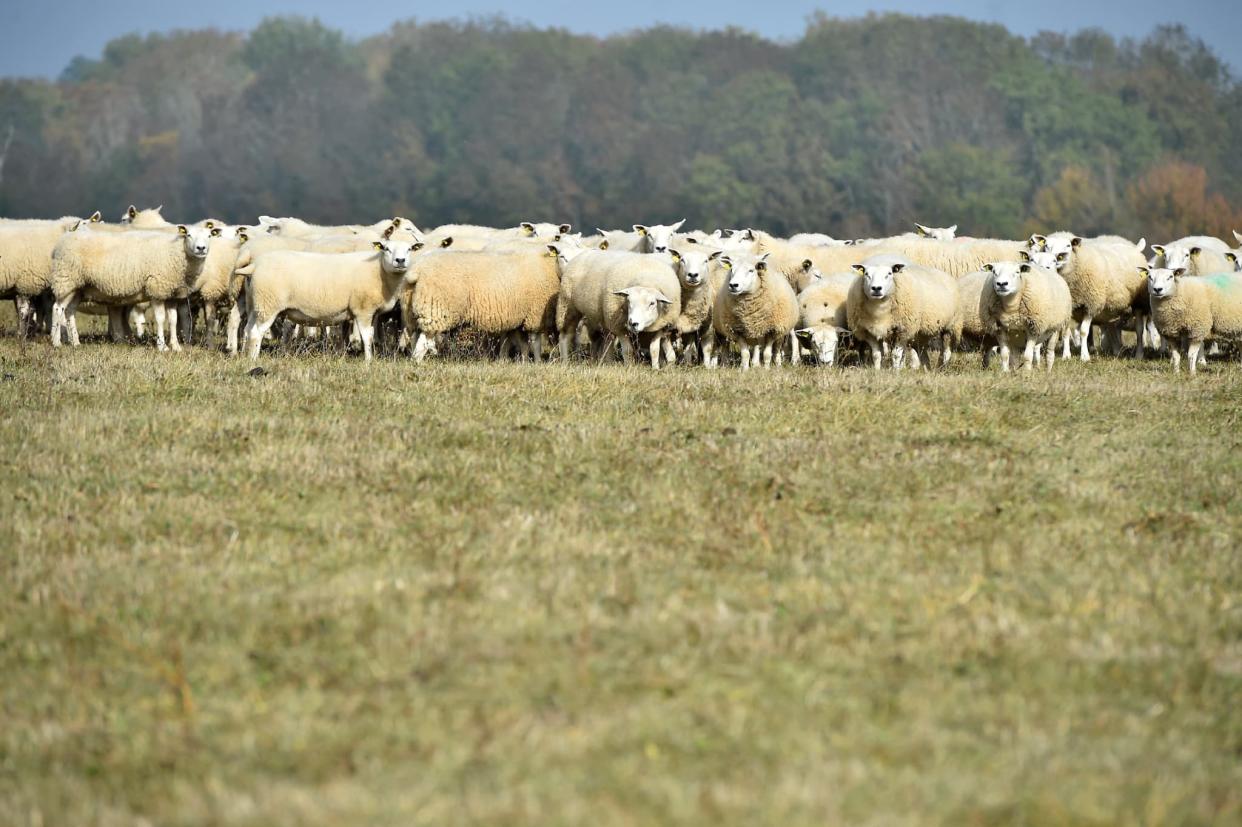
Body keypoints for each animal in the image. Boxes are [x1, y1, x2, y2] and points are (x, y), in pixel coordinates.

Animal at [49, 223, 219, 350]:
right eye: (188, 235)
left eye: (209, 236)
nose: (201, 248)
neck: (177, 253)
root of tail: (64, 238)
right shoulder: (157, 288)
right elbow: (160, 319)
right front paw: (162, 346)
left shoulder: (172, 293)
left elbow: (173, 320)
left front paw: (176, 347)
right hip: (66, 279)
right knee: (57, 308)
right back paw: (56, 343)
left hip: (78, 287)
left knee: (69, 311)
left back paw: (75, 343)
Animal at [242, 234, 427, 357]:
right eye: (387, 249)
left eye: (409, 249)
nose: (400, 261)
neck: (379, 270)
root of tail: (255, 265)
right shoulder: (363, 309)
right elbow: (367, 336)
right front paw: (369, 361)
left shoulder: (369, 312)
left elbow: (367, 334)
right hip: (268, 304)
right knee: (256, 332)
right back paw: (253, 359)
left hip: (256, 305)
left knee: (248, 329)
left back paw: (246, 356)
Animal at [402, 242, 586, 365]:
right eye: (562, 256)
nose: (574, 270)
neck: (550, 267)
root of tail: (416, 271)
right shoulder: (535, 312)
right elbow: (534, 341)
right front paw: (538, 362)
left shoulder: (516, 316)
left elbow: (516, 342)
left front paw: (517, 361)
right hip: (436, 309)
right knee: (424, 339)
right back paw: (418, 362)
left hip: (414, 310)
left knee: (415, 335)